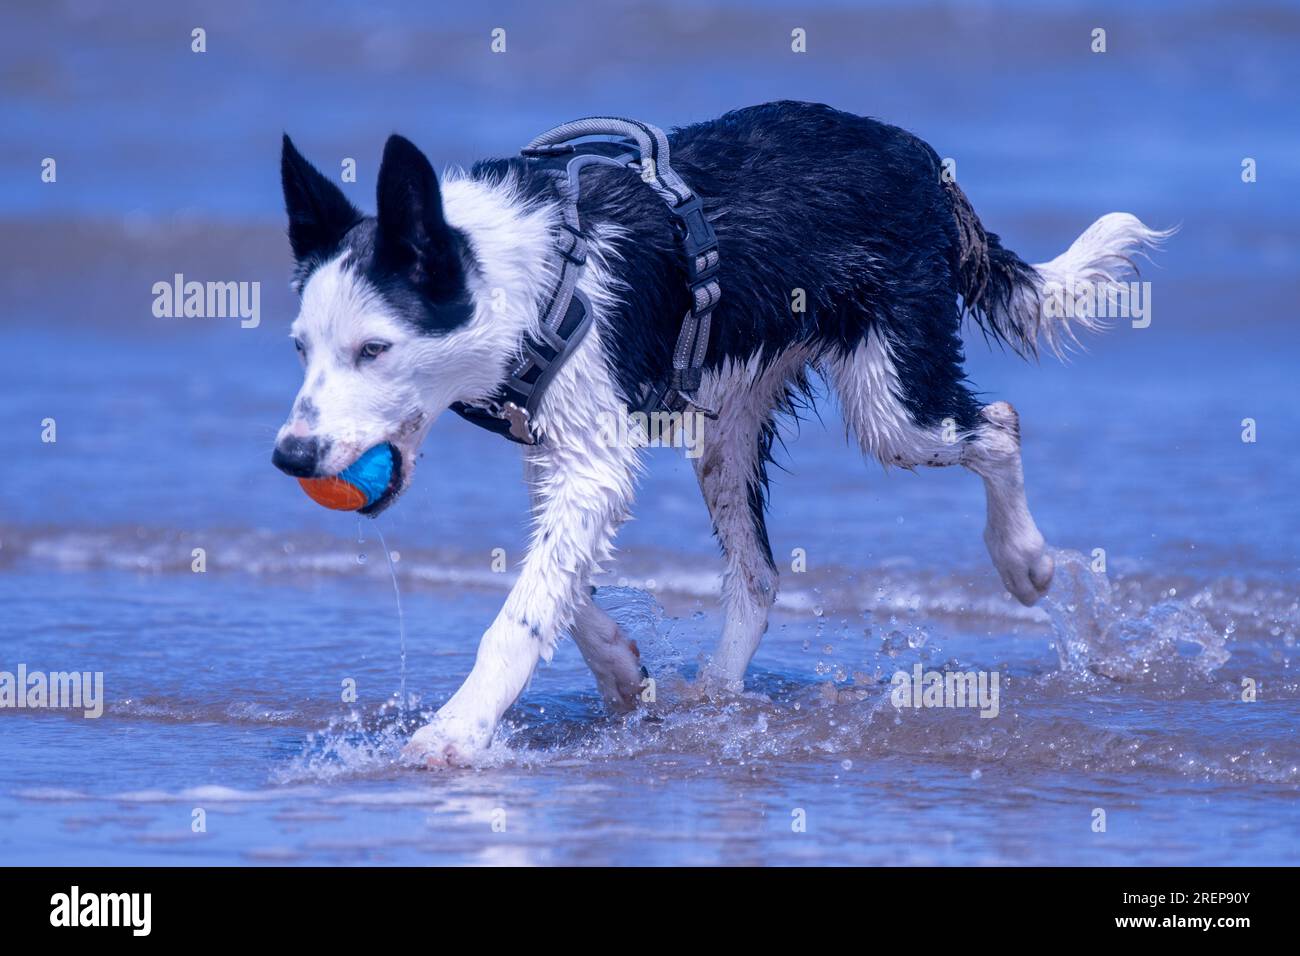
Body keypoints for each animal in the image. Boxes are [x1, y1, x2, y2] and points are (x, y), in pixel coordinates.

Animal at [274, 100, 1170, 764]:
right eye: (300, 349)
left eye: (375, 349)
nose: (291, 456)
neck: (512, 276)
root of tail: (925, 161)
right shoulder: (560, 445)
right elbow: (559, 583)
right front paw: (620, 669)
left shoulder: (590, 453)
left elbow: (522, 612)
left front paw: (455, 733)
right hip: (731, 419)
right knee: (761, 572)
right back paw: (717, 691)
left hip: (890, 399)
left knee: (998, 424)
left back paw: (1025, 562)